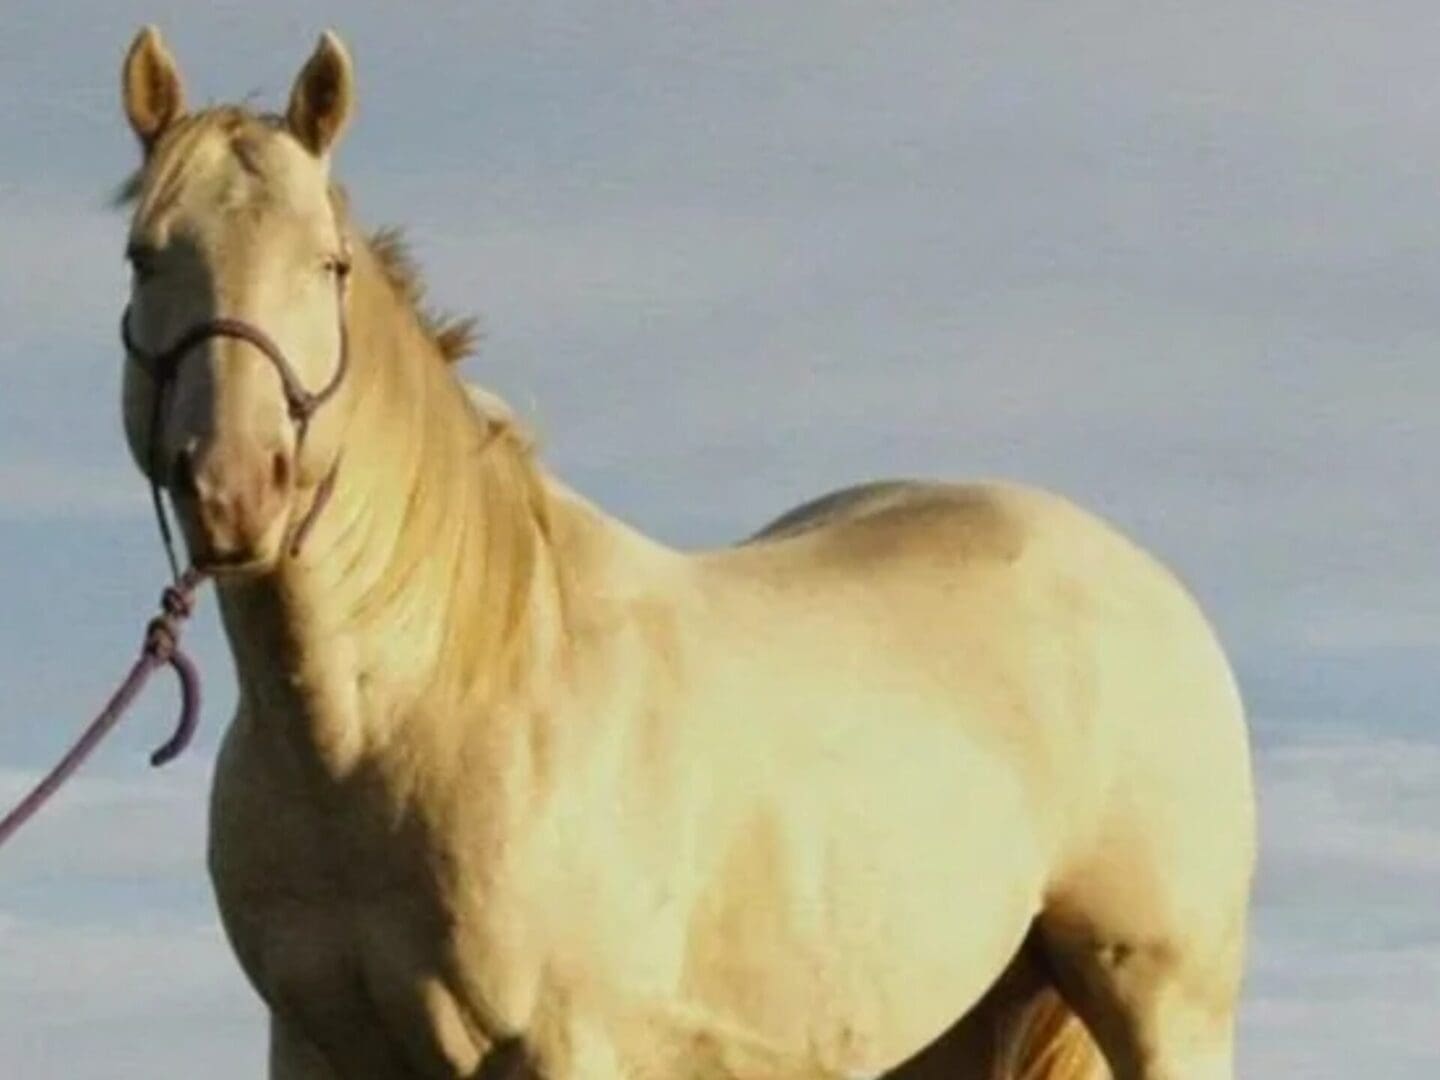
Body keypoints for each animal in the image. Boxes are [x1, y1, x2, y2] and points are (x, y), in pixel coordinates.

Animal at [115, 27, 1255, 1080]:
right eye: (142, 255)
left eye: (329, 264)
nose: (234, 487)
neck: (413, 713)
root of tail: (1150, 588)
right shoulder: (314, 1045)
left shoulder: (562, 1044)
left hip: (1162, 1002)